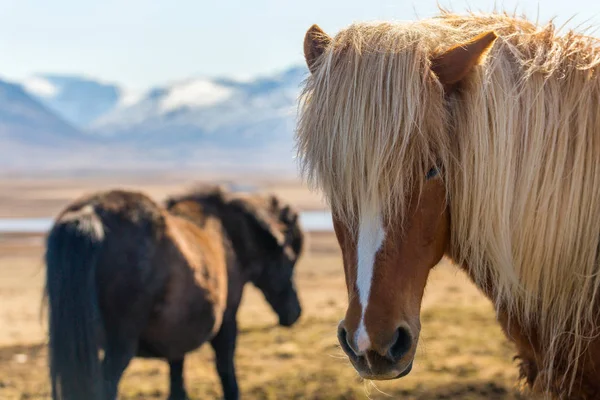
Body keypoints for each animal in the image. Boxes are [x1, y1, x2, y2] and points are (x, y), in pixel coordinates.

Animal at [45, 186, 304, 398]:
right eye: (290, 258)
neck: (228, 236)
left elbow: (177, 381)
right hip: (118, 348)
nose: (295, 313)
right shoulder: (227, 320)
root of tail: (89, 214)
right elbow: (226, 373)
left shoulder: (176, 338)